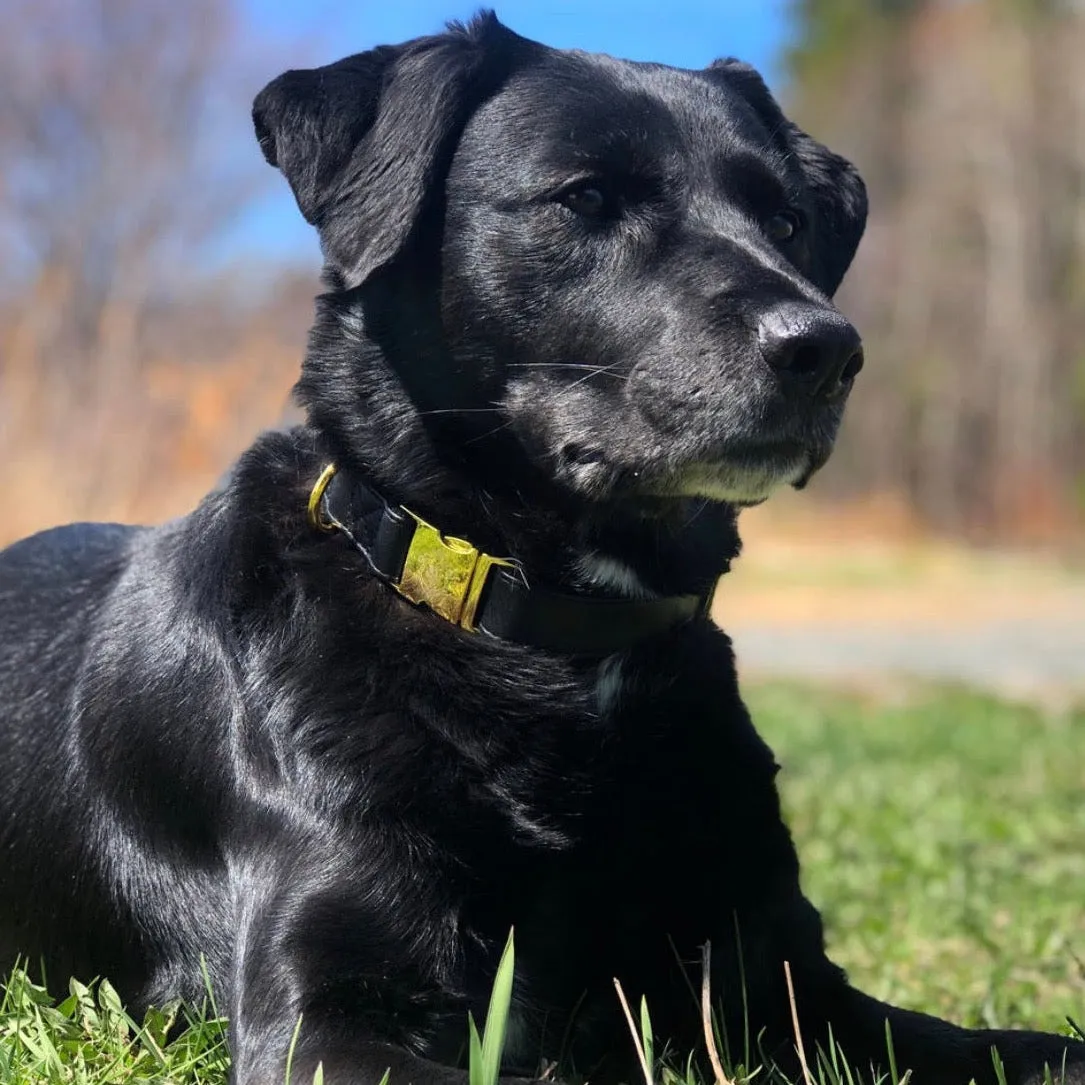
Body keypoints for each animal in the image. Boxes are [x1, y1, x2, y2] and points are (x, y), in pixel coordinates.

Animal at [0, 14, 1080, 1085]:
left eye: (784, 222)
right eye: (586, 197)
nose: (825, 348)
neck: (562, 638)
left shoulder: (788, 984)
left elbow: (1019, 1048)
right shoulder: (322, 1014)